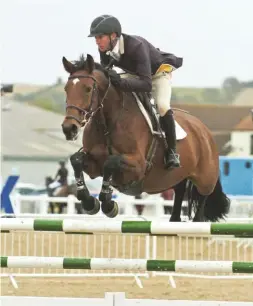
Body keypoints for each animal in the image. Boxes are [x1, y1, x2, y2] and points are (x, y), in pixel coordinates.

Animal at [60, 53, 230, 221]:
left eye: (88, 89)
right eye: (66, 89)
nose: (69, 128)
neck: (108, 123)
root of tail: (205, 131)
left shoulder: (138, 166)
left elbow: (111, 161)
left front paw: (108, 204)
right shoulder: (94, 165)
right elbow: (76, 160)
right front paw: (89, 202)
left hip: (205, 181)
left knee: (201, 207)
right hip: (178, 178)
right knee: (179, 197)